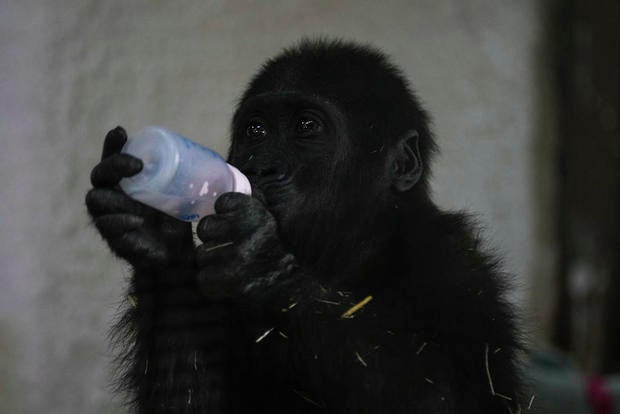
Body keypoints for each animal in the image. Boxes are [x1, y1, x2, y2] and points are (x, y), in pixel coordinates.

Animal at [86, 38, 524, 410]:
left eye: (306, 127)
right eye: (256, 130)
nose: (261, 168)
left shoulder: (455, 265)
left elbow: (444, 395)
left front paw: (260, 265)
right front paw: (155, 234)